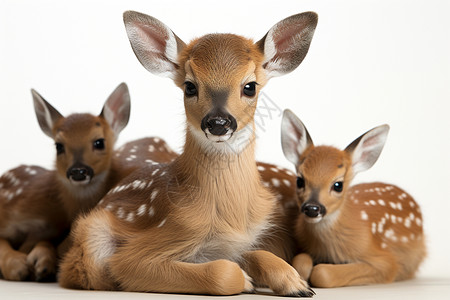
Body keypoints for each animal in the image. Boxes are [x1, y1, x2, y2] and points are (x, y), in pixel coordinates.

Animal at [59, 10, 318, 296]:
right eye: (190, 87)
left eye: (250, 86)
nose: (218, 122)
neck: (232, 215)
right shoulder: (147, 246)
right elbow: (221, 273)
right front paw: (248, 280)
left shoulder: (238, 242)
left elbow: (257, 254)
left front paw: (296, 283)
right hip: (94, 233)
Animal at [282, 109, 426, 288]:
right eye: (300, 180)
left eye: (338, 185)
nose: (312, 208)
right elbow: (299, 263)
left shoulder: (386, 262)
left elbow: (323, 274)